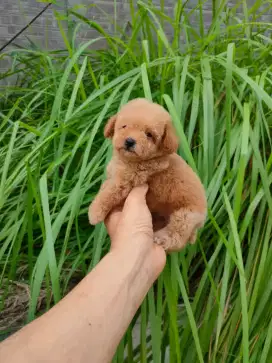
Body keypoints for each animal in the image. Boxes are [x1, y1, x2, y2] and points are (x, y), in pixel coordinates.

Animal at [88, 99, 206, 253]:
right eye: (124, 126)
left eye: (149, 134)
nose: (130, 141)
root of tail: (202, 218)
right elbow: (107, 187)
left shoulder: (126, 182)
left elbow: (108, 195)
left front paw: (94, 212)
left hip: (185, 217)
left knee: (177, 238)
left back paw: (161, 238)